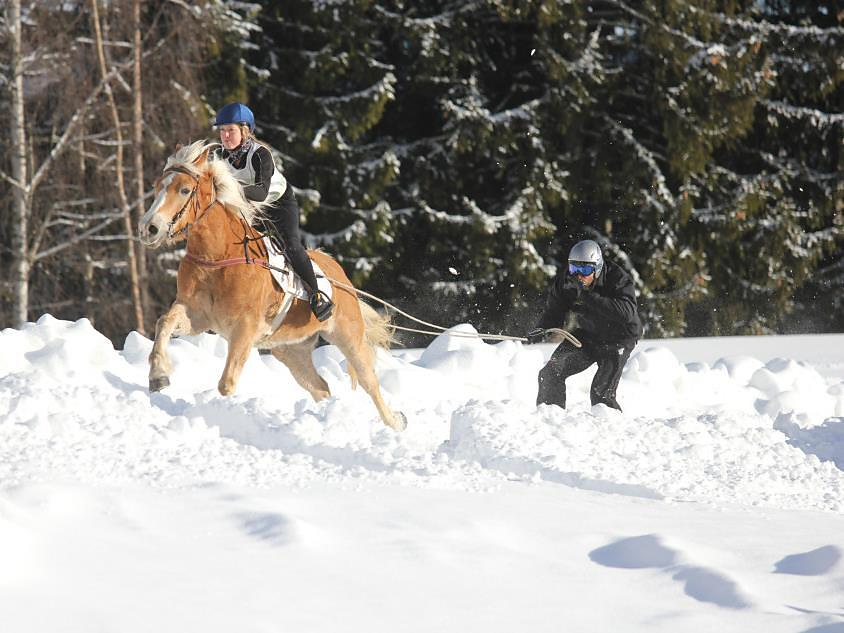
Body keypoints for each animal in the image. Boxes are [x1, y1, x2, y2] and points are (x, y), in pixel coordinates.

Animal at [137, 140, 407, 431]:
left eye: (185, 189)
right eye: (157, 186)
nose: (148, 228)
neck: (217, 257)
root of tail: (339, 274)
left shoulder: (245, 328)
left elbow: (227, 383)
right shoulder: (197, 315)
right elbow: (164, 322)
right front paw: (158, 376)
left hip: (347, 336)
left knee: (370, 383)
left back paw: (396, 423)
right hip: (289, 349)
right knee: (320, 387)